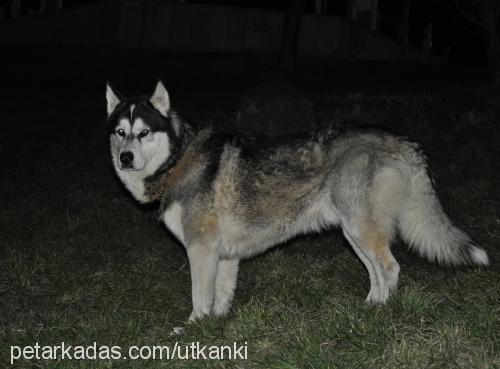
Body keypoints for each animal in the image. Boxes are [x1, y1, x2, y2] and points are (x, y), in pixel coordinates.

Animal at [105, 80, 488, 320]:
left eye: (144, 133)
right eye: (120, 132)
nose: (125, 158)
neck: (178, 159)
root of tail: (404, 142)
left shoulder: (202, 250)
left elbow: (201, 299)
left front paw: (194, 331)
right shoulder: (224, 256)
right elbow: (221, 298)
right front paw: (217, 326)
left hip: (361, 230)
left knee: (390, 268)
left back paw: (383, 314)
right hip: (354, 232)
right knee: (377, 272)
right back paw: (369, 308)